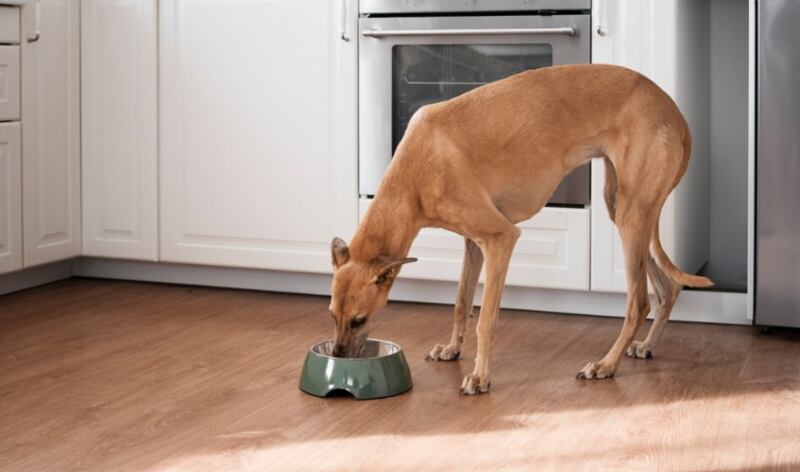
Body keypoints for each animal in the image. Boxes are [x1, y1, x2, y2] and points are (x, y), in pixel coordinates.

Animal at [324, 62, 712, 394]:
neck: (416, 170)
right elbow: (460, 302)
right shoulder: (473, 243)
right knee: (667, 289)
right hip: (624, 210)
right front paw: (451, 349)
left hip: (632, 215)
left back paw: (606, 365)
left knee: (639, 303)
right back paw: (645, 346)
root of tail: (673, 110)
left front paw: (480, 377)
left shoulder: (501, 238)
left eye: (359, 320)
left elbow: (486, 318)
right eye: (331, 315)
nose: (339, 358)